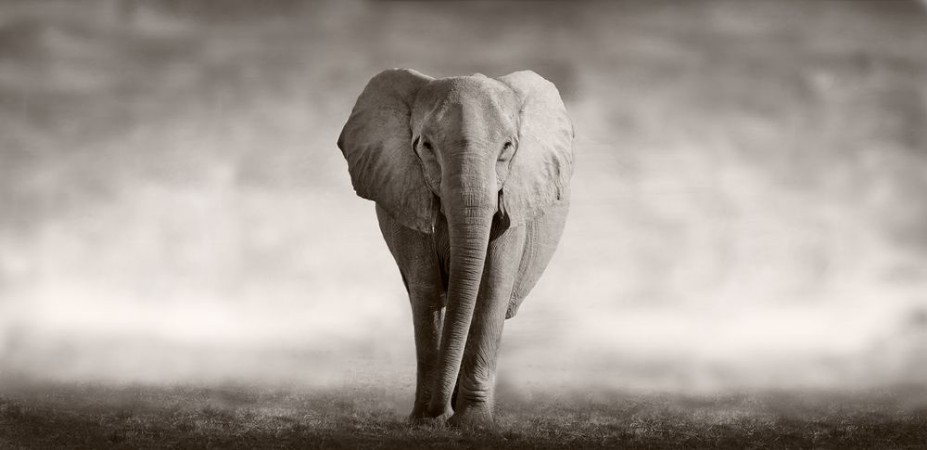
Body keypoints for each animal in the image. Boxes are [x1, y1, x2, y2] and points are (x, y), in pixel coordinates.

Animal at [337, 68, 573, 427]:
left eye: (507, 147)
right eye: (426, 146)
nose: (440, 412)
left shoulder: (513, 200)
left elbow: (491, 289)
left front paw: (472, 424)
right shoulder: (408, 194)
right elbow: (427, 290)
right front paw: (427, 421)